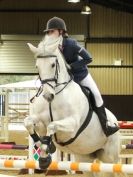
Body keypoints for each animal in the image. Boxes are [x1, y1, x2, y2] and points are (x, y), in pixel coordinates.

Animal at [24, 35, 125, 176]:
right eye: (37, 66)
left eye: (53, 64)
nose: (48, 96)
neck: (56, 95)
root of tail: (115, 121)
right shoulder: (40, 121)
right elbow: (29, 123)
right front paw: (45, 149)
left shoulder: (72, 125)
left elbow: (52, 125)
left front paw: (46, 155)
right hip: (85, 157)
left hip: (110, 157)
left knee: (116, 167)